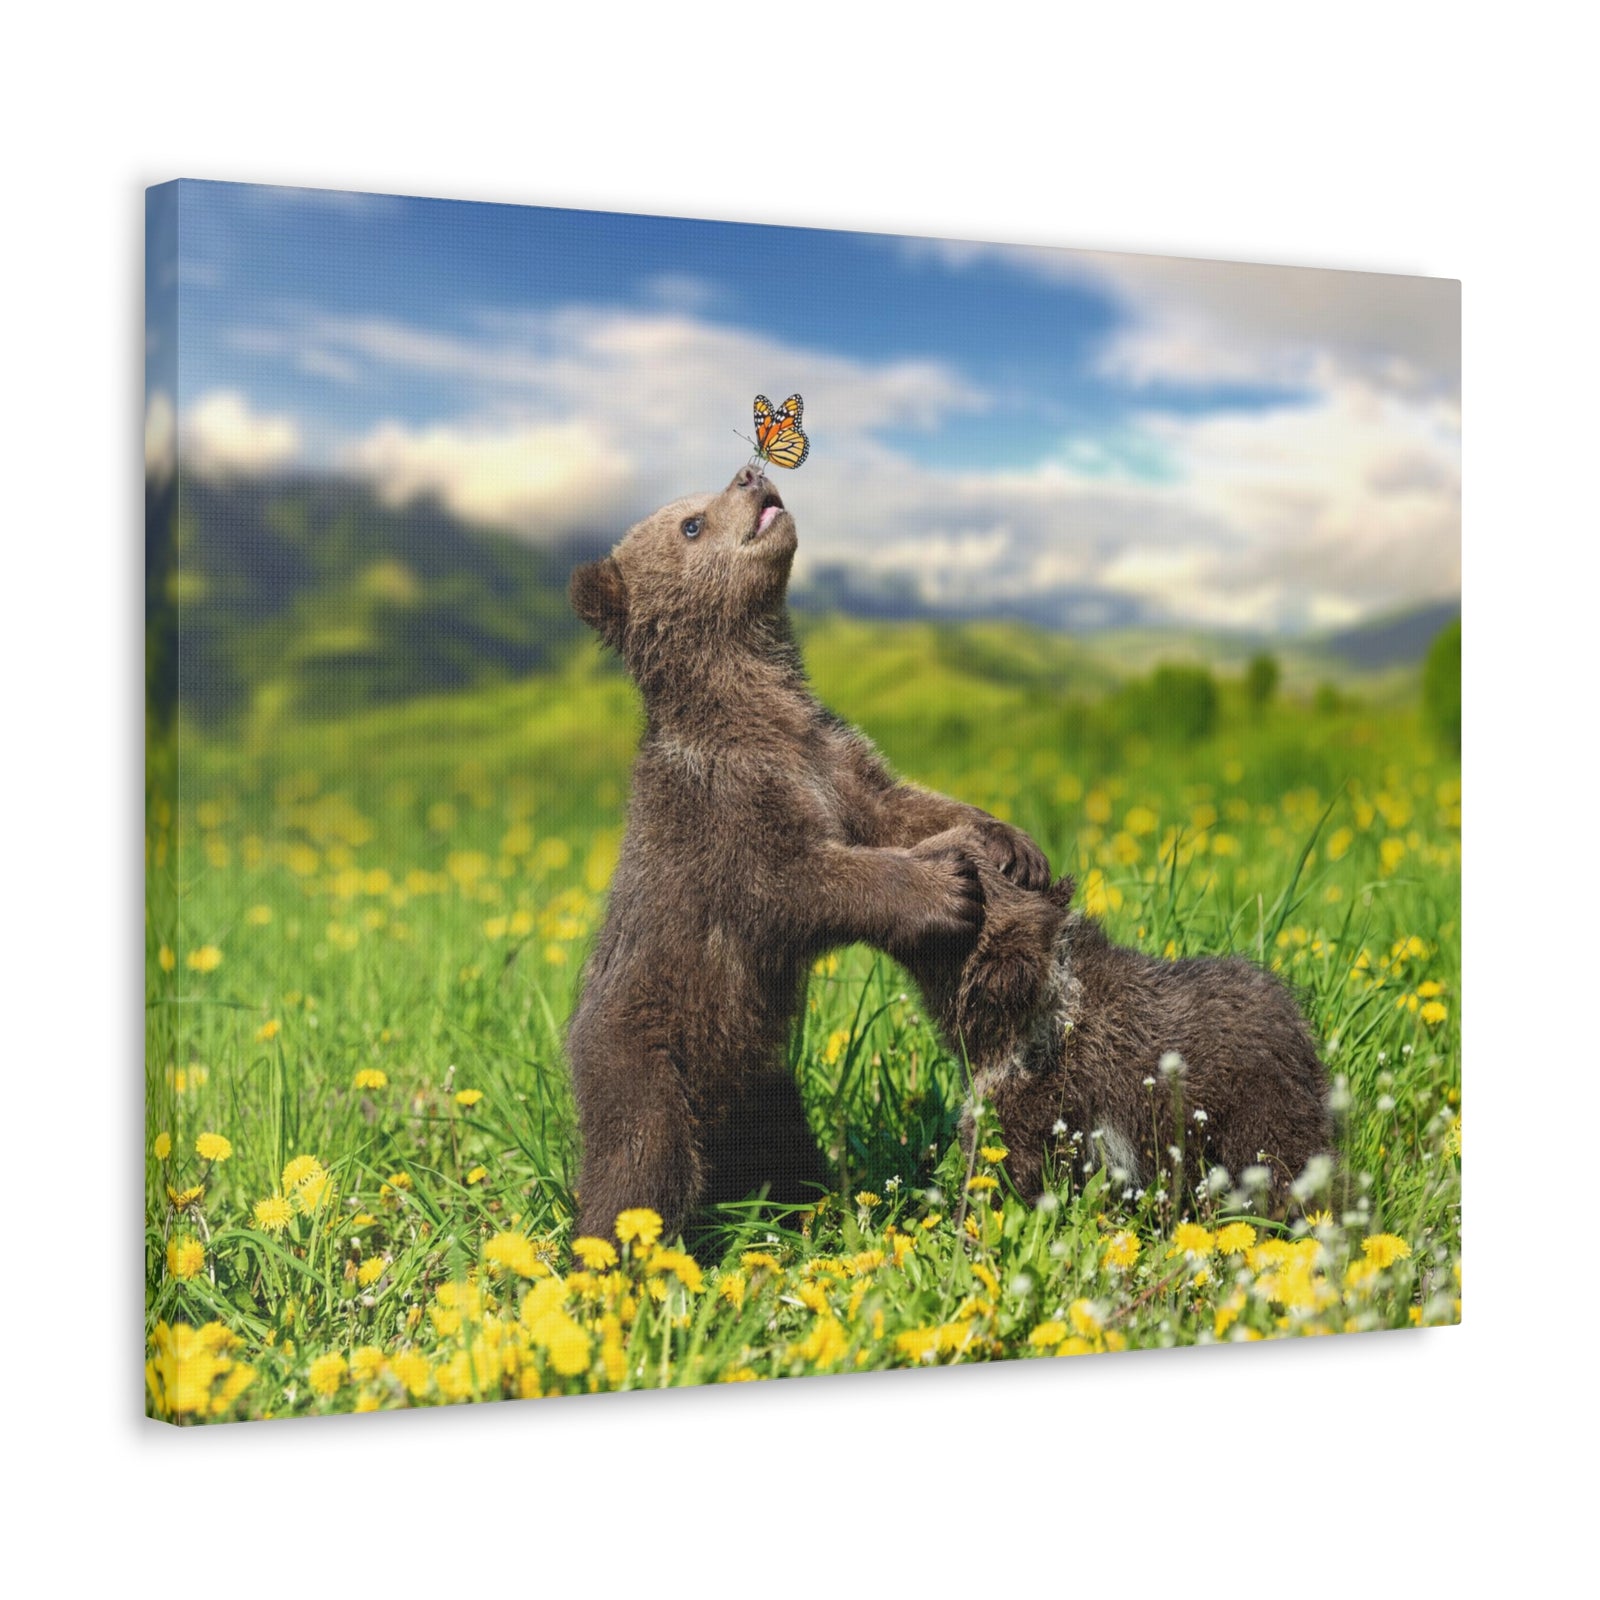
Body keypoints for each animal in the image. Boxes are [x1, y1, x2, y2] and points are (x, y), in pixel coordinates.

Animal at [564, 467, 1051, 1243]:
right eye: (690, 524)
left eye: (702, 500)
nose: (750, 474)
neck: (758, 711)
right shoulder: (727, 808)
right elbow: (792, 881)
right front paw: (944, 889)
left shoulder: (834, 760)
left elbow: (900, 807)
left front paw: (1008, 841)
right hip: (644, 1056)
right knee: (640, 1165)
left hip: (763, 1081)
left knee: (782, 1148)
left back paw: (811, 1206)